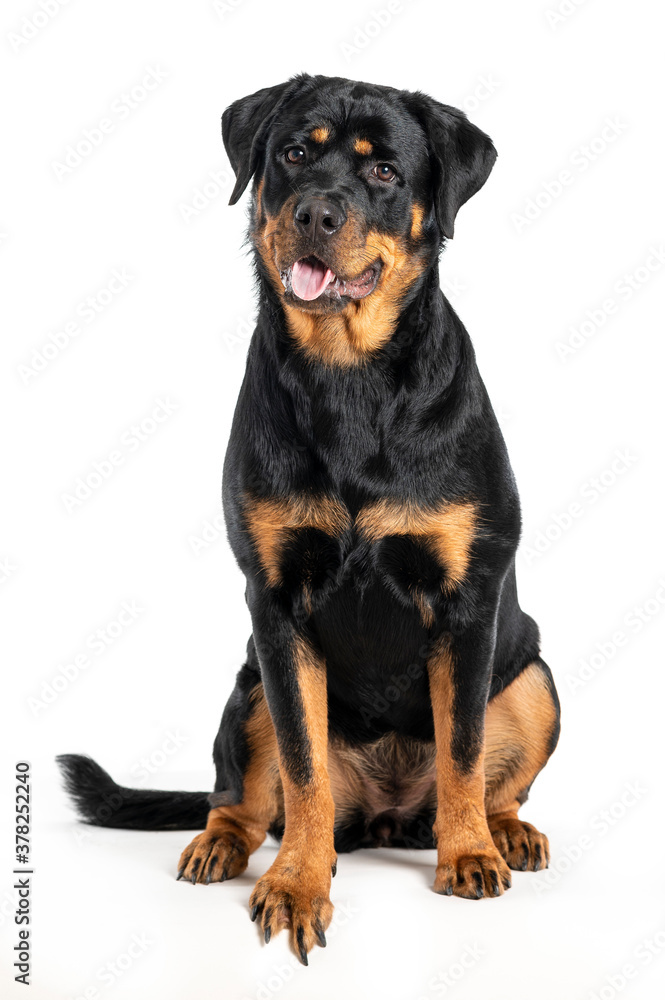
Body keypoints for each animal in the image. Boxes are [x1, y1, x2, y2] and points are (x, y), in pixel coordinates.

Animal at [59, 76, 560, 968]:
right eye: (295, 152)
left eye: (386, 170)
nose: (318, 212)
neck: (348, 376)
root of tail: (388, 817)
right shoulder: (276, 607)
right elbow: (301, 766)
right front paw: (295, 883)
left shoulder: (467, 602)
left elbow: (465, 749)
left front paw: (468, 855)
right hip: (248, 687)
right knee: (245, 797)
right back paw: (223, 844)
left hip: (534, 679)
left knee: (490, 777)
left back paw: (501, 833)